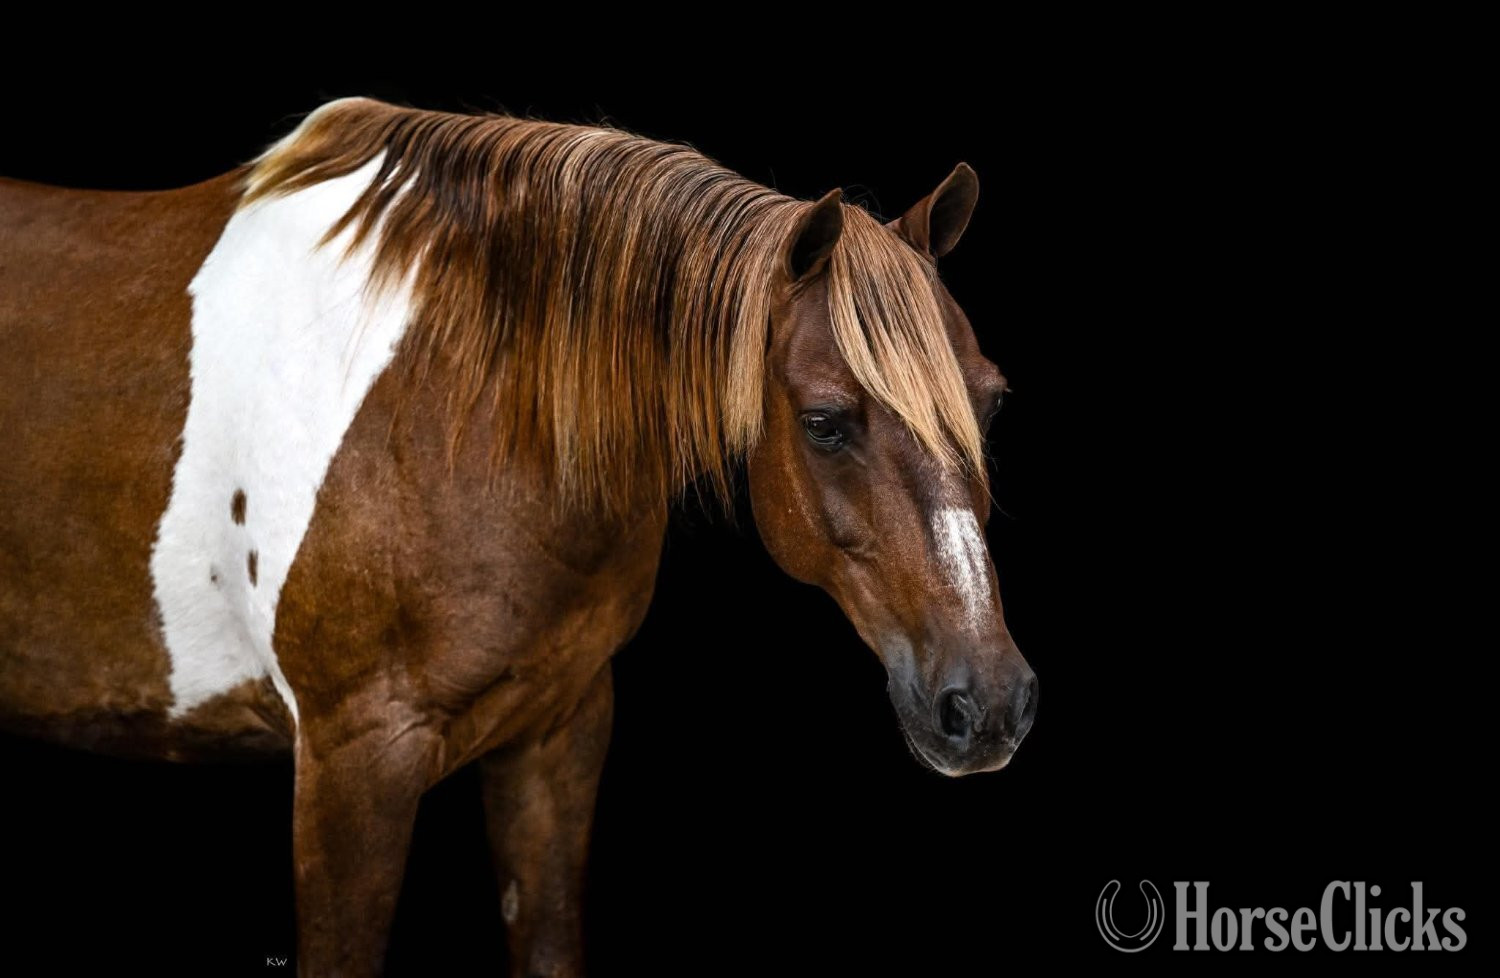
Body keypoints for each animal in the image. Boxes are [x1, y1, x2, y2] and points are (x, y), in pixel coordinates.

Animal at [0, 97, 1037, 976]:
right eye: (825, 422)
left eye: (991, 402)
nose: (987, 705)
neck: (450, 403)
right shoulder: (349, 765)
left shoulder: (556, 735)